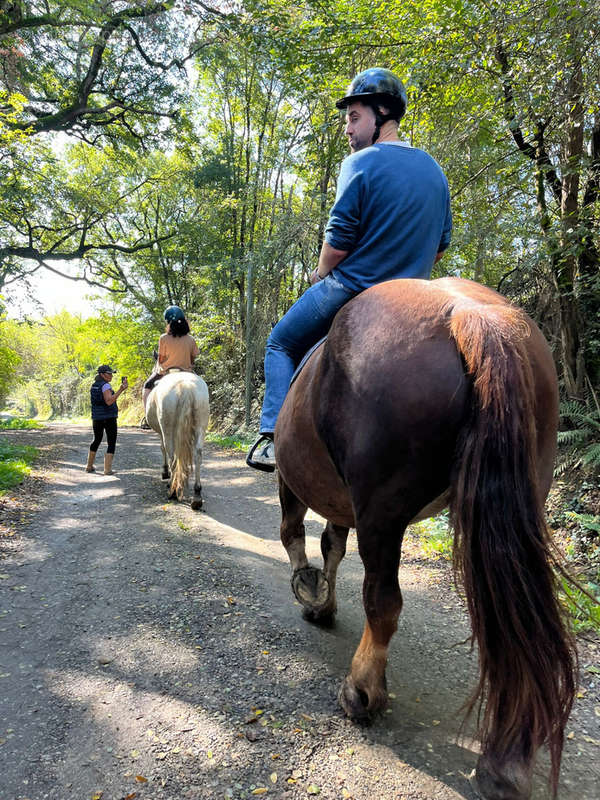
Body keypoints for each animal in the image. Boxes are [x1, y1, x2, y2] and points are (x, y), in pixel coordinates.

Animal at [144, 370, 210, 510]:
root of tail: (186, 386)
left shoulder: (161, 432)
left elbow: (162, 448)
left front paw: (165, 472)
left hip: (168, 430)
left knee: (172, 455)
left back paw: (172, 490)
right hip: (201, 425)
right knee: (197, 455)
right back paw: (197, 495)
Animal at [276, 276, 576, 800]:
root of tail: (470, 314)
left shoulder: (298, 483)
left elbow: (296, 535)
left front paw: (310, 594)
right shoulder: (342, 501)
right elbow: (332, 545)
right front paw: (324, 604)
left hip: (382, 509)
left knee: (383, 601)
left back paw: (362, 692)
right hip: (523, 492)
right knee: (508, 619)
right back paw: (506, 762)